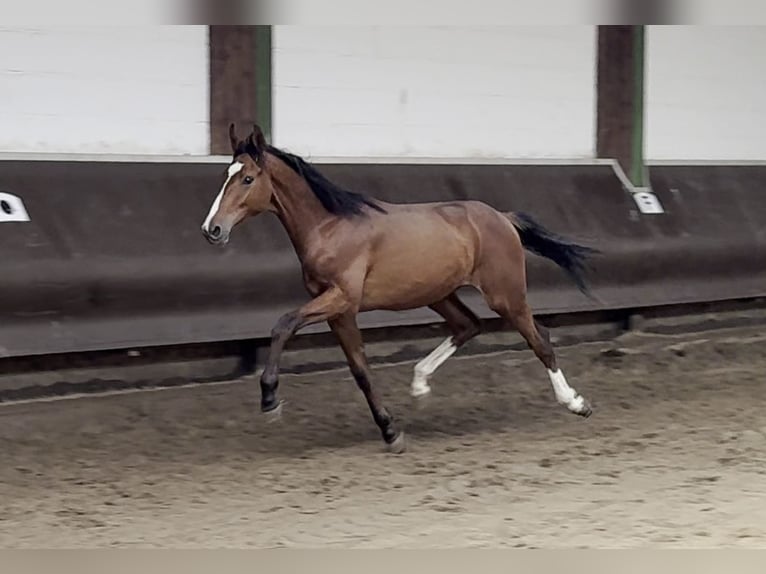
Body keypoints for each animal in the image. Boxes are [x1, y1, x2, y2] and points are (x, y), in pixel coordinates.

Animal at [201, 125, 596, 454]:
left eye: (248, 178)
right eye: (225, 176)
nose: (212, 230)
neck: (329, 228)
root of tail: (503, 218)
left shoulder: (340, 298)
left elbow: (283, 324)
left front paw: (269, 399)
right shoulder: (339, 311)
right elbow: (360, 371)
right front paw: (391, 432)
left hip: (505, 294)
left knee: (540, 339)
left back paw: (577, 403)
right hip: (440, 293)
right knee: (469, 325)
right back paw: (420, 383)